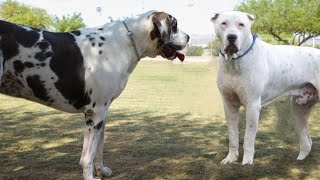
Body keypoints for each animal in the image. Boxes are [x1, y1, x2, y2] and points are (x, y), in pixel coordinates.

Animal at [0, 10, 190, 179]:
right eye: (175, 25)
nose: (188, 37)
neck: (123, 43)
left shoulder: (101, 114)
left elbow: (98, 149)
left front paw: (101, 170)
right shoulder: (96, 112)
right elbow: (87, 157)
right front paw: (90, 176)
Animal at [211, 10, 320, 165]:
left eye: (241, 24)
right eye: (223, 23)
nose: (232, 37)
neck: (235, 62)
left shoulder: (252, 105)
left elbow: (248, 139)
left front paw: (246, 162)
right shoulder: (229, 105)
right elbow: (232, 136)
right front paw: (230, 158)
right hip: (298, 110)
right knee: (307, 140)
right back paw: (300, 158)